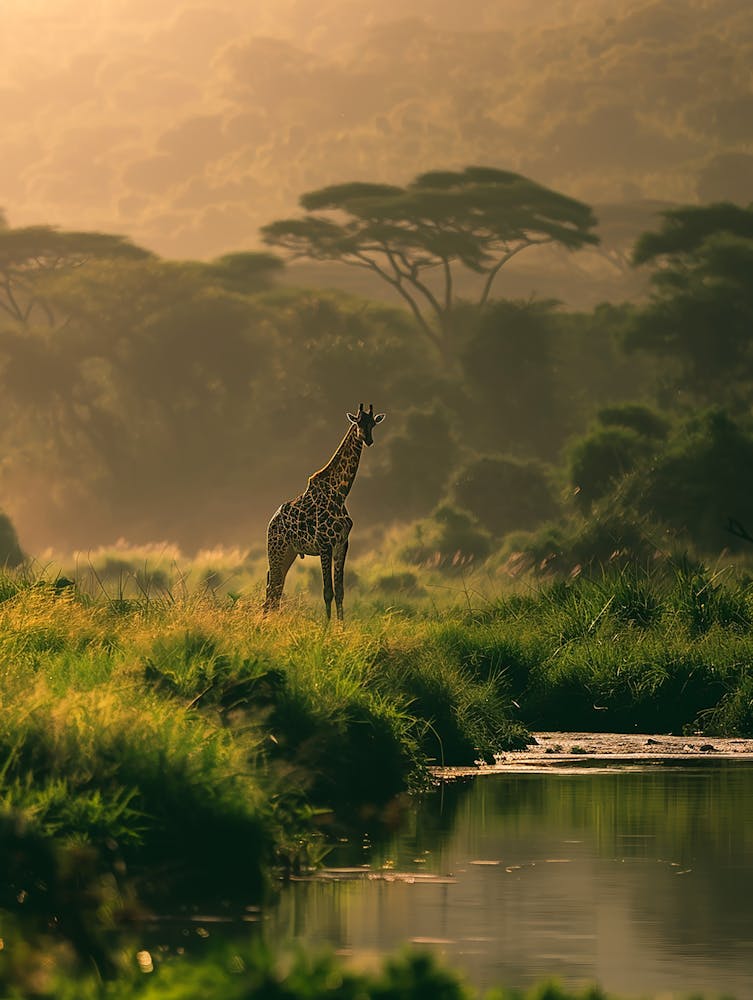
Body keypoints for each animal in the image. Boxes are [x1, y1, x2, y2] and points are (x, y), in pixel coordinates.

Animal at [263, 403, 385, 620]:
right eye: (358, 423)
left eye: (372, 424)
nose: (368, 440)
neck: (340, 493)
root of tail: (271, 523)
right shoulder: (324, 545)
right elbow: (328, 591)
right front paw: (326, 627)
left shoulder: (342, 544)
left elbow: (340, 591)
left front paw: (340, 626)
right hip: (276, 550)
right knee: (272, 588)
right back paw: (265, 623)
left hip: (289, 552)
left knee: (276, 587)